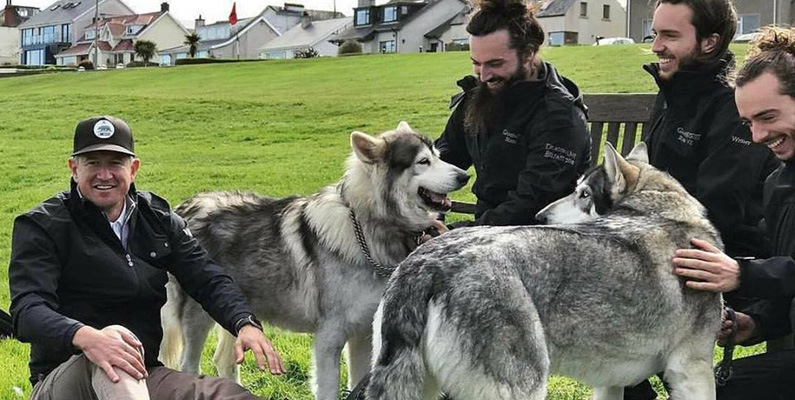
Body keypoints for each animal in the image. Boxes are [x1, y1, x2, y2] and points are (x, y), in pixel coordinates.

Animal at [161, 122, 470, 400]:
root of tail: (181, 209)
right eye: (423, 161)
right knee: (188, 366)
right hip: (197, 321)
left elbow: (358, 382)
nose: (465, 176)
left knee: (223, 359)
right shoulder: (329, 338)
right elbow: (329, 390)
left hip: (237, 317)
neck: (366, 229)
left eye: (439, 156)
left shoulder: (362, 336)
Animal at [364, 144, 724, 400]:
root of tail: (424, 264)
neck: (661, 211)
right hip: (526, 387)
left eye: (583, 194)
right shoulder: (692, 369)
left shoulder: (610, 381)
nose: (539, 215)